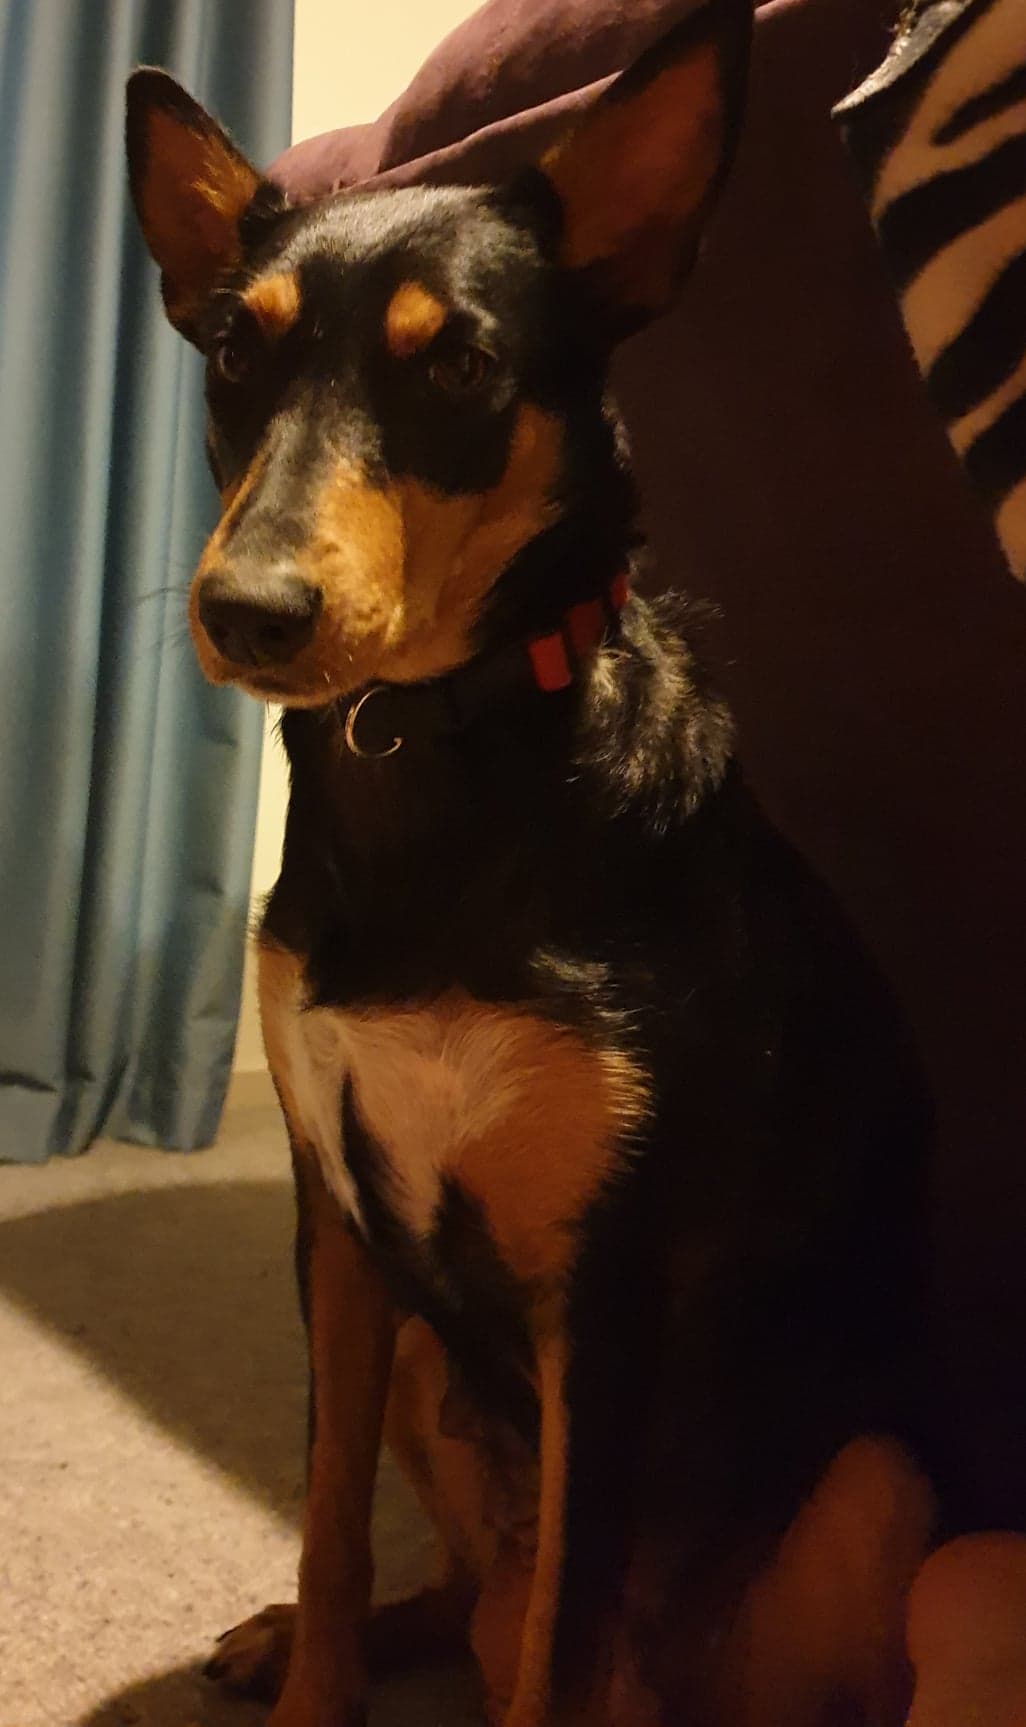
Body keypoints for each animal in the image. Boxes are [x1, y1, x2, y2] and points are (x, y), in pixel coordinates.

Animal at [126, 2, 941, 1721]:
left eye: (459, 363)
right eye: (233, 352)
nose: (246, 614)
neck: (433, 751)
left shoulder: (600, 1294)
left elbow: (561, 1646)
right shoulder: (336, 1222)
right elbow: (326, 1521)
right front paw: (312, 1674)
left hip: (871, 1477)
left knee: (608, 1641)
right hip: (436, 1359)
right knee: (468, 1588)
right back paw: (297, 1637)